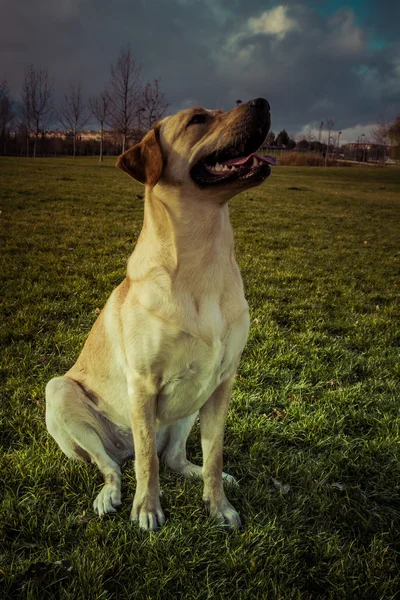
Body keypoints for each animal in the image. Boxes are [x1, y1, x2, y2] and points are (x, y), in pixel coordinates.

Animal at [44, 95, 276, 528]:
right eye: (198, 119)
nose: (262, 102)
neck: (204, 260)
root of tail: (121, 446)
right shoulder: (143, 384)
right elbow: (147, 462)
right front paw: (148, 509)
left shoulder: (221, 383)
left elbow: (214, 456)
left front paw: (218, 505)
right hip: (61, 394)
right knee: (117, 466)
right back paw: (110, 494)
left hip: (190, 406)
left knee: (173, 457)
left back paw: (198, 474)